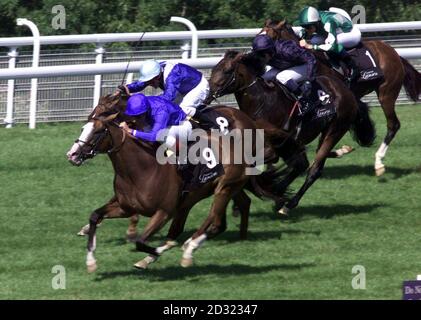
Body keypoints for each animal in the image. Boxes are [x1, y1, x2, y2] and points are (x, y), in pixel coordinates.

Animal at [66, 93, 282, 270]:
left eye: (97, 131)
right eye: (84, 127)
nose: (73, 154)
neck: (140, 170)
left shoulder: (164, 212)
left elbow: (141, 241)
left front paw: (157, 249)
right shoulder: (124, 207)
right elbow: (95, 216)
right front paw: (91, 260)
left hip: (224, 188)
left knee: (213, 222)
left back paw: (189, 248)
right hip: (208, 195)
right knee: (228, 214)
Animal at [207, 50, 374, 215]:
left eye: (227, 70)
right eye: (214, 69)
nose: (208, 94)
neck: (261, 102)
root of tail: (348, 93)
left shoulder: (271, 148)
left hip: (334, 131)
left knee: (314, 169)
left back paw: (288, 203)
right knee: (301, 165)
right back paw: (279, 193)